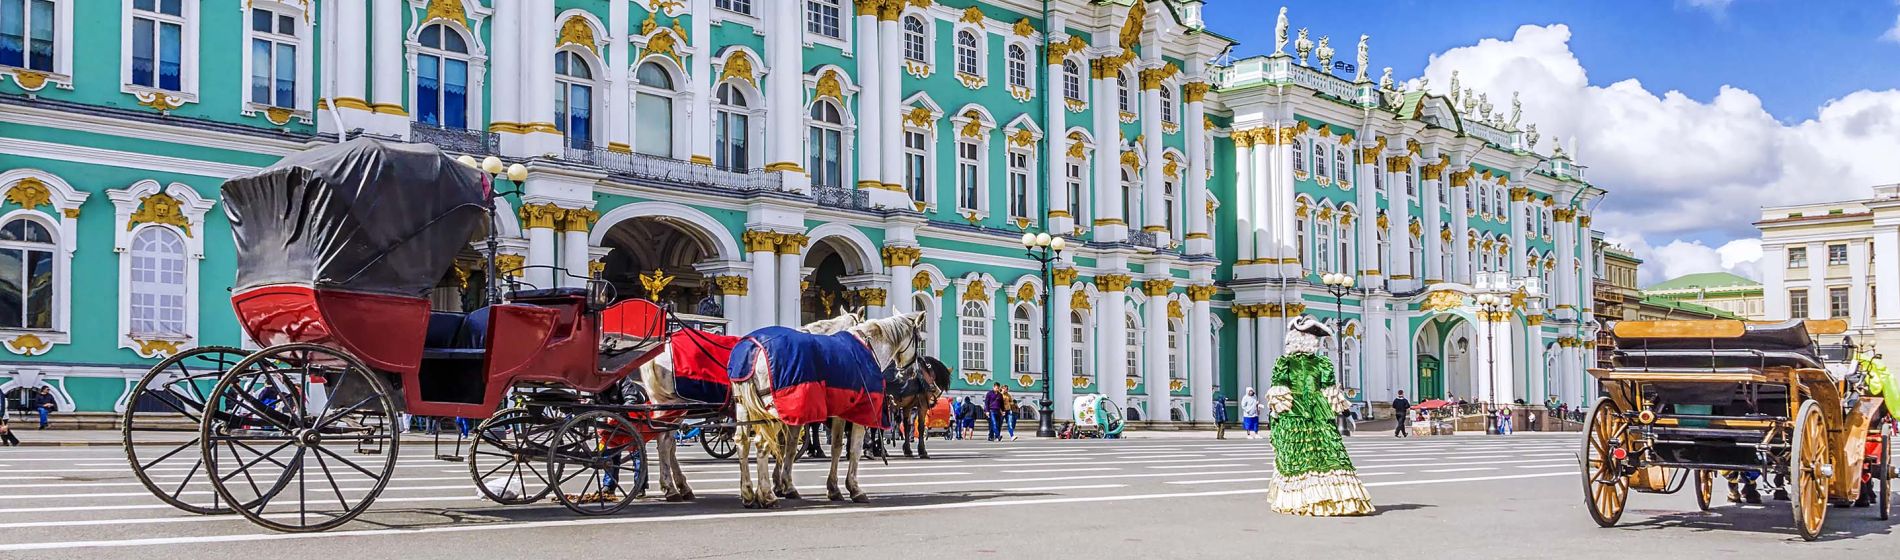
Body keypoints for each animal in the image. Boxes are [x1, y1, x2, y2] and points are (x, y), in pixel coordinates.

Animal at [733, 311, 927, 508]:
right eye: (918, 339)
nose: (910, 373)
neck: (869, 348)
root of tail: (753, 348)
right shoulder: (860, 413)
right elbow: (854, 449)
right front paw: (855, 488)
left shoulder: (839, 413)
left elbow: (835, 447)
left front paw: (833, 489)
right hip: (773, 413)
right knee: (762, 444)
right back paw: (767, 496)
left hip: (743, 407)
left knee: (742, 442)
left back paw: (748, 493)